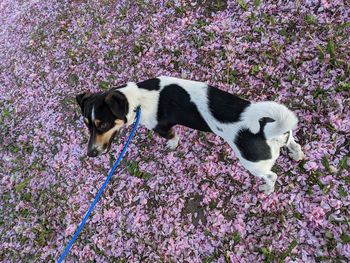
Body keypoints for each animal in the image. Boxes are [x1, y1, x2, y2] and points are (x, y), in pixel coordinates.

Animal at [76, 76, 304, 194]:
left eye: (103, 124)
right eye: (87, 125)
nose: (90, 154)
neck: (136, 99)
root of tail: (267, 130)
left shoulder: (162, 127)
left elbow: (173, 137)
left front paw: (172, 145)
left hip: (253, 164)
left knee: (272, 176)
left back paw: (267, 188)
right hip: (285, 135)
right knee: (294, 142)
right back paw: (296, 154)